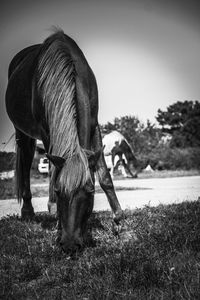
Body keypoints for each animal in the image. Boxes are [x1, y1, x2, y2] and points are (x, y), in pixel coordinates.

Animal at [5, 28, 122, 253]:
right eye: (60, 192)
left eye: (90, 192)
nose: (69, 244)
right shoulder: (46, 131)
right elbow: (53, 172)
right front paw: (57, 220)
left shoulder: (94, 124)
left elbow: (104, 175)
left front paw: (118, 218)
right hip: (23, 133)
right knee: (26, 163)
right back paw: (28, 211)